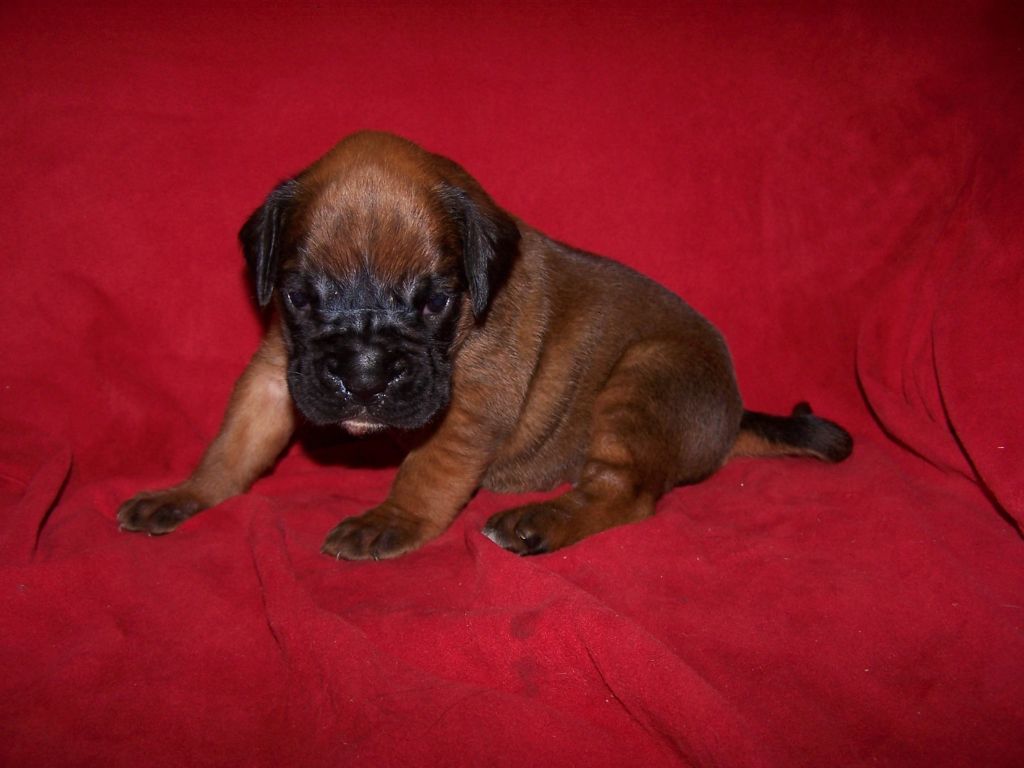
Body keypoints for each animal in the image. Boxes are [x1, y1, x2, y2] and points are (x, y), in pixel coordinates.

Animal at [118, 131, 852, 559]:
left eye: (434, 302)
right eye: (300, 298)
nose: (364, 375)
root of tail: (730, 417)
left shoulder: (470, 409)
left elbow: (427, 470)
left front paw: (391, 519)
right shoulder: (277, 374)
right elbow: (233, 446)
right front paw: (187, 493)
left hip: (643, 381)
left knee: (626, 493)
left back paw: (540, 522)